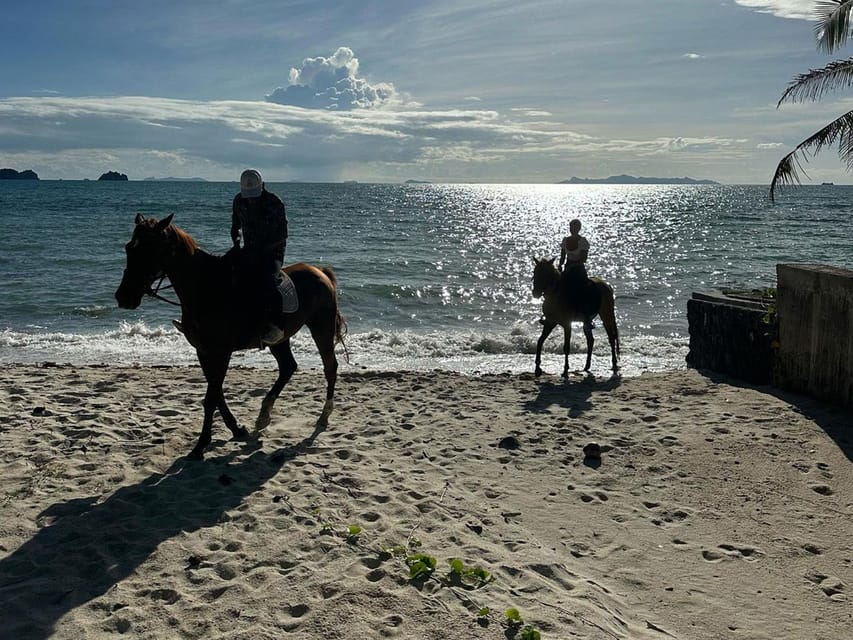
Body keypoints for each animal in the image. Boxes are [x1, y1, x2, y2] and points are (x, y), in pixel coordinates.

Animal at [114, 215, 346, 460]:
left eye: (150, 249)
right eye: (129, 248)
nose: (123, 297)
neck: (206, 289)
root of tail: (320, 271)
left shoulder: (221, 352)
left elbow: (211, 398)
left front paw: (200, 445)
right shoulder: (203, 351)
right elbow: (216, 393)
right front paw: (236, 429)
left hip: (321, 327)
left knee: (330, 367)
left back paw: (323, 415)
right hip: (281, 339)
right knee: (288, 367)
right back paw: (263, 415)